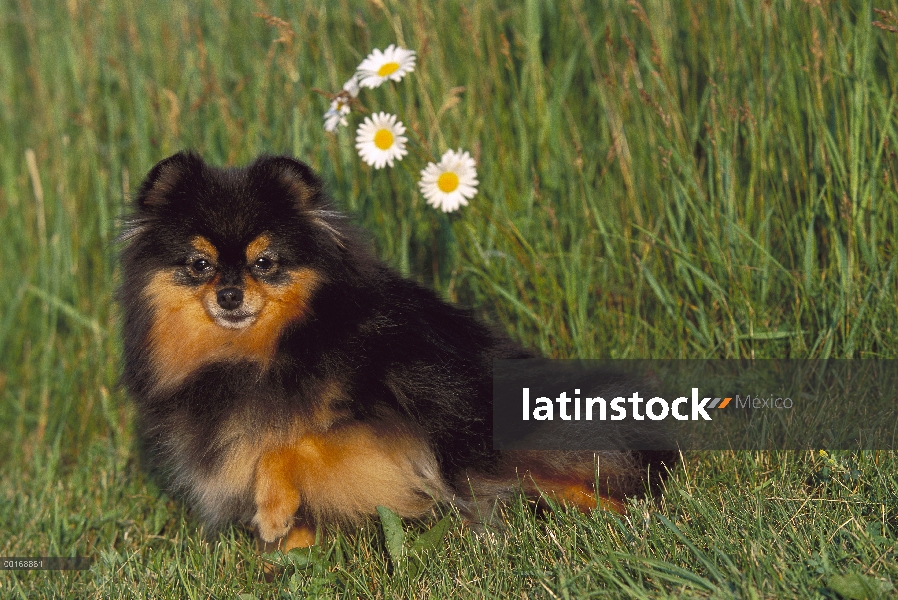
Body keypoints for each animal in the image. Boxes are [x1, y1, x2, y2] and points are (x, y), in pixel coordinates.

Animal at [117, 152, 664, 552]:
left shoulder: (396, 442)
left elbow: (289, 443)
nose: (230, 295)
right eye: (199, 265)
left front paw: (271, 510)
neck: (267, 350)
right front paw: (287, 550)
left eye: (265, 262)